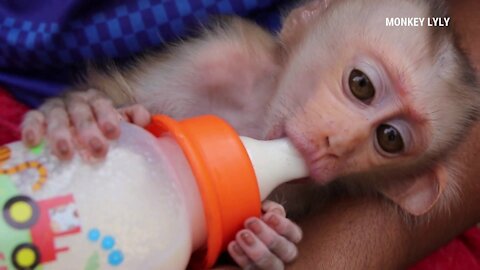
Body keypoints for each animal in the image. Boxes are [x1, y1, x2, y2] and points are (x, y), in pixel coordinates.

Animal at [21, 0, 480, 268]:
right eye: (361, 84)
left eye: (389, 138)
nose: (337, 144)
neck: (257, 115)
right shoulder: (218, 57)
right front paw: (74, 115)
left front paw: (269, 245)